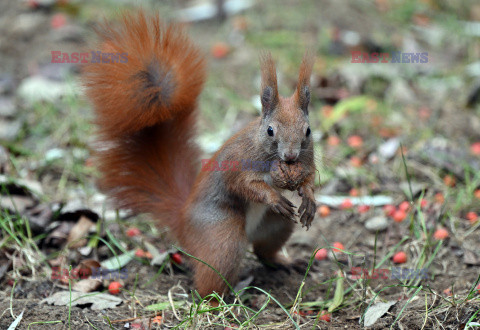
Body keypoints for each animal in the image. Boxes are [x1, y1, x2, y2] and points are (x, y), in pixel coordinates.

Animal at [83, 12, 316, 296]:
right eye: (270, 130)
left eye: (308, 130)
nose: (291, 156)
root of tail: (183, 222)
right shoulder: (237, 162)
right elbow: (244, 184)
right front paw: (273, 196)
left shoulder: (308, 161)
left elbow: (309, 178)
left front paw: (309, 199)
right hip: (222, 234)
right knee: (213, 274)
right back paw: (218, 299)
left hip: (276, 225)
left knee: (264, 251)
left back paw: (285, 262)